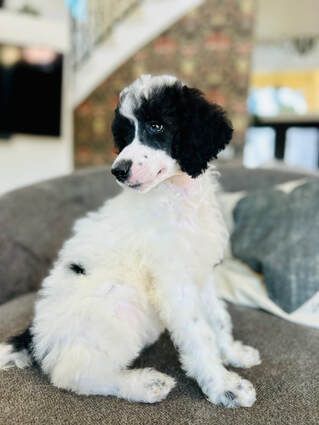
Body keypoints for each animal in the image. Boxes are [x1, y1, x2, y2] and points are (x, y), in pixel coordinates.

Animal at [0, 74, 262, 406]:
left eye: (156, 126)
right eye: (125, 136)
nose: (118, 170)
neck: (178, 199)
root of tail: (33, 337)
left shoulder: (202, 273)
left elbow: (218, 319)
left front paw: (233, 354)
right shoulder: (174, 283)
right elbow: (199, 333)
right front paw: (224, 386)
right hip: (115, 308)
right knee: (75, 374)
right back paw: (145, 384)